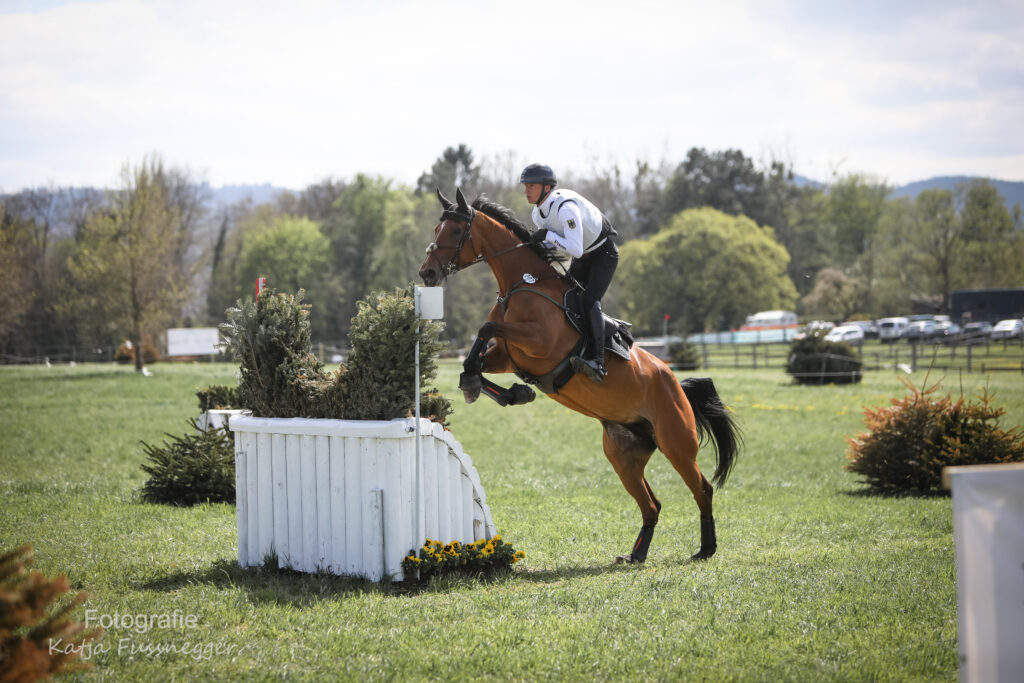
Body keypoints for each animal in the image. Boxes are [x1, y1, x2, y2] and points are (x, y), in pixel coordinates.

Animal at [419, 189, 741, 565]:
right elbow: (478, 355)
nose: (427, 273)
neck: (523, 284)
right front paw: (499, 389)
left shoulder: (540, 343)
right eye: (437, 228)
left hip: (676, 444)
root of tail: (677, 384)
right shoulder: (509, 357)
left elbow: (486, 328)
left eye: (456, 231)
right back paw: (636, 555)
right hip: (623, 454)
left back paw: (706, 548)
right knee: (652, 504)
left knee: (701, 488)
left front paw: (504, 389)